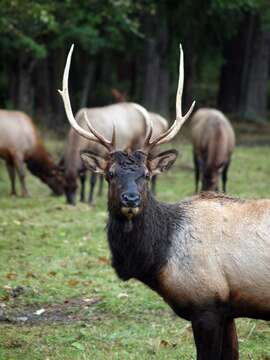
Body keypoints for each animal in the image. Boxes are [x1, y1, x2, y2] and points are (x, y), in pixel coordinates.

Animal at [58, 45, 270, 360]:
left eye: (146, 174)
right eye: (110, 174)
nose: (130, 198)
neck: (159, 260)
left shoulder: (206, 305)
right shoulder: (227, 310)